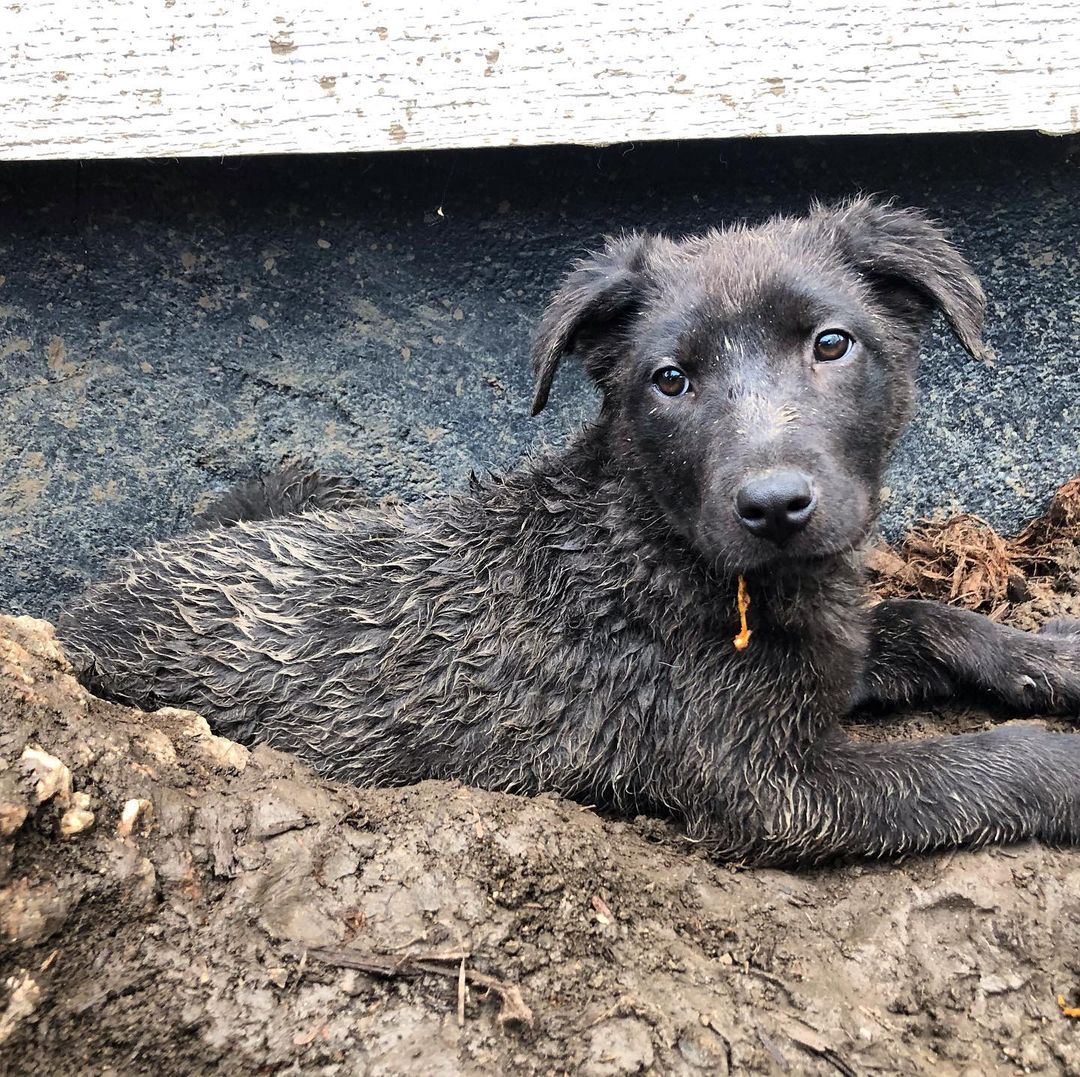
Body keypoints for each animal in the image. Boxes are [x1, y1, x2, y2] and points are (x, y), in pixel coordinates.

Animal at [59, 197, 1080, 859]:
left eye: (832, 344)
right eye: (671, 380)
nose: (774, 506)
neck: (654, 544)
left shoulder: (829, 653)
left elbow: (925, 618)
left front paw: (1053, 653)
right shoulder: (773, 787)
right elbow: (974, 763)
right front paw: (1062, 763)